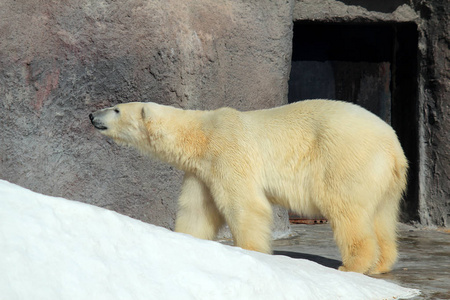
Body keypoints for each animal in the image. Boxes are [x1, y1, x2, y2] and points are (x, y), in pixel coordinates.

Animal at [89, 101, 408, 274]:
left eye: (116, 109)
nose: (92, 115)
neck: (201, 133)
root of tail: (393, 147)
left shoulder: (227, 151)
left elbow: (244, 204)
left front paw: (252, 252)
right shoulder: (201, 171)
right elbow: (196, 211)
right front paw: (186, 243)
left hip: (345, 157)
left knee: (347, 209)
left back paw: (353, 265)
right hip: (386, 180)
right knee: (382, 216)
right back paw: (381, 263)